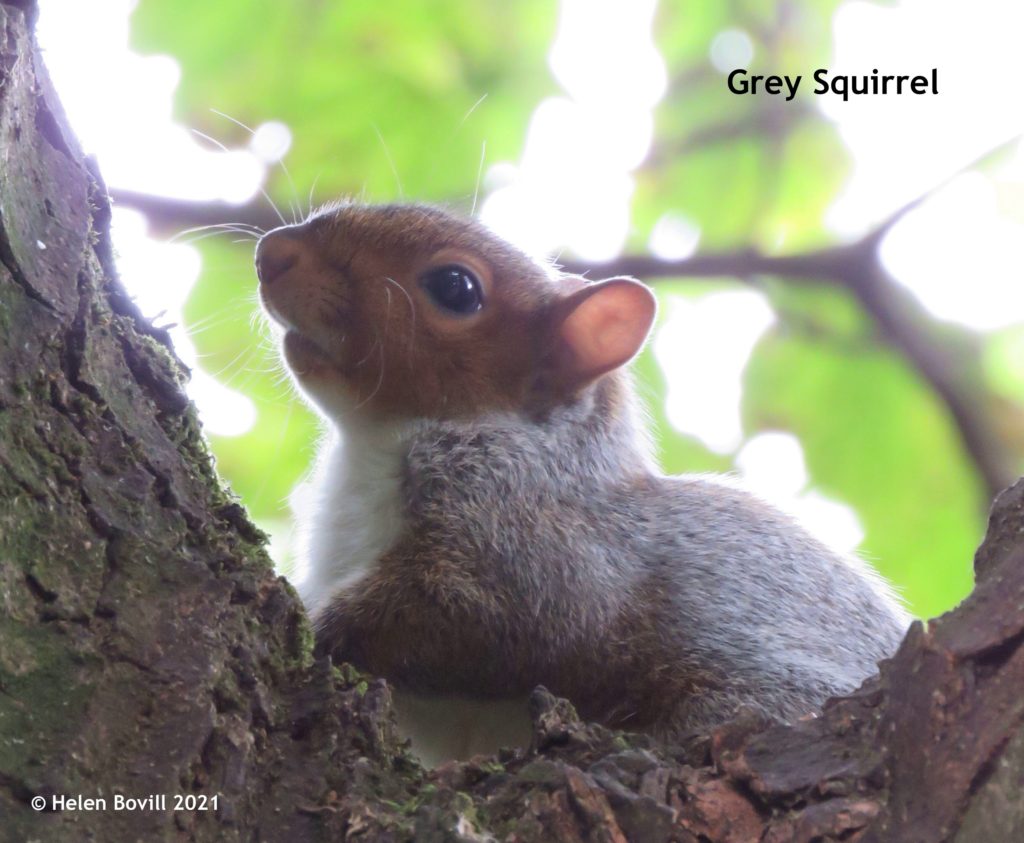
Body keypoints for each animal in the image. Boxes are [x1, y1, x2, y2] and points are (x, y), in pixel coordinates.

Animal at [256, 202, 913, 766]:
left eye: (455, 288)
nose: (272, 252)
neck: (371, 448)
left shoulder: (533, 538)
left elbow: (478, 611)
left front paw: (315, 627)